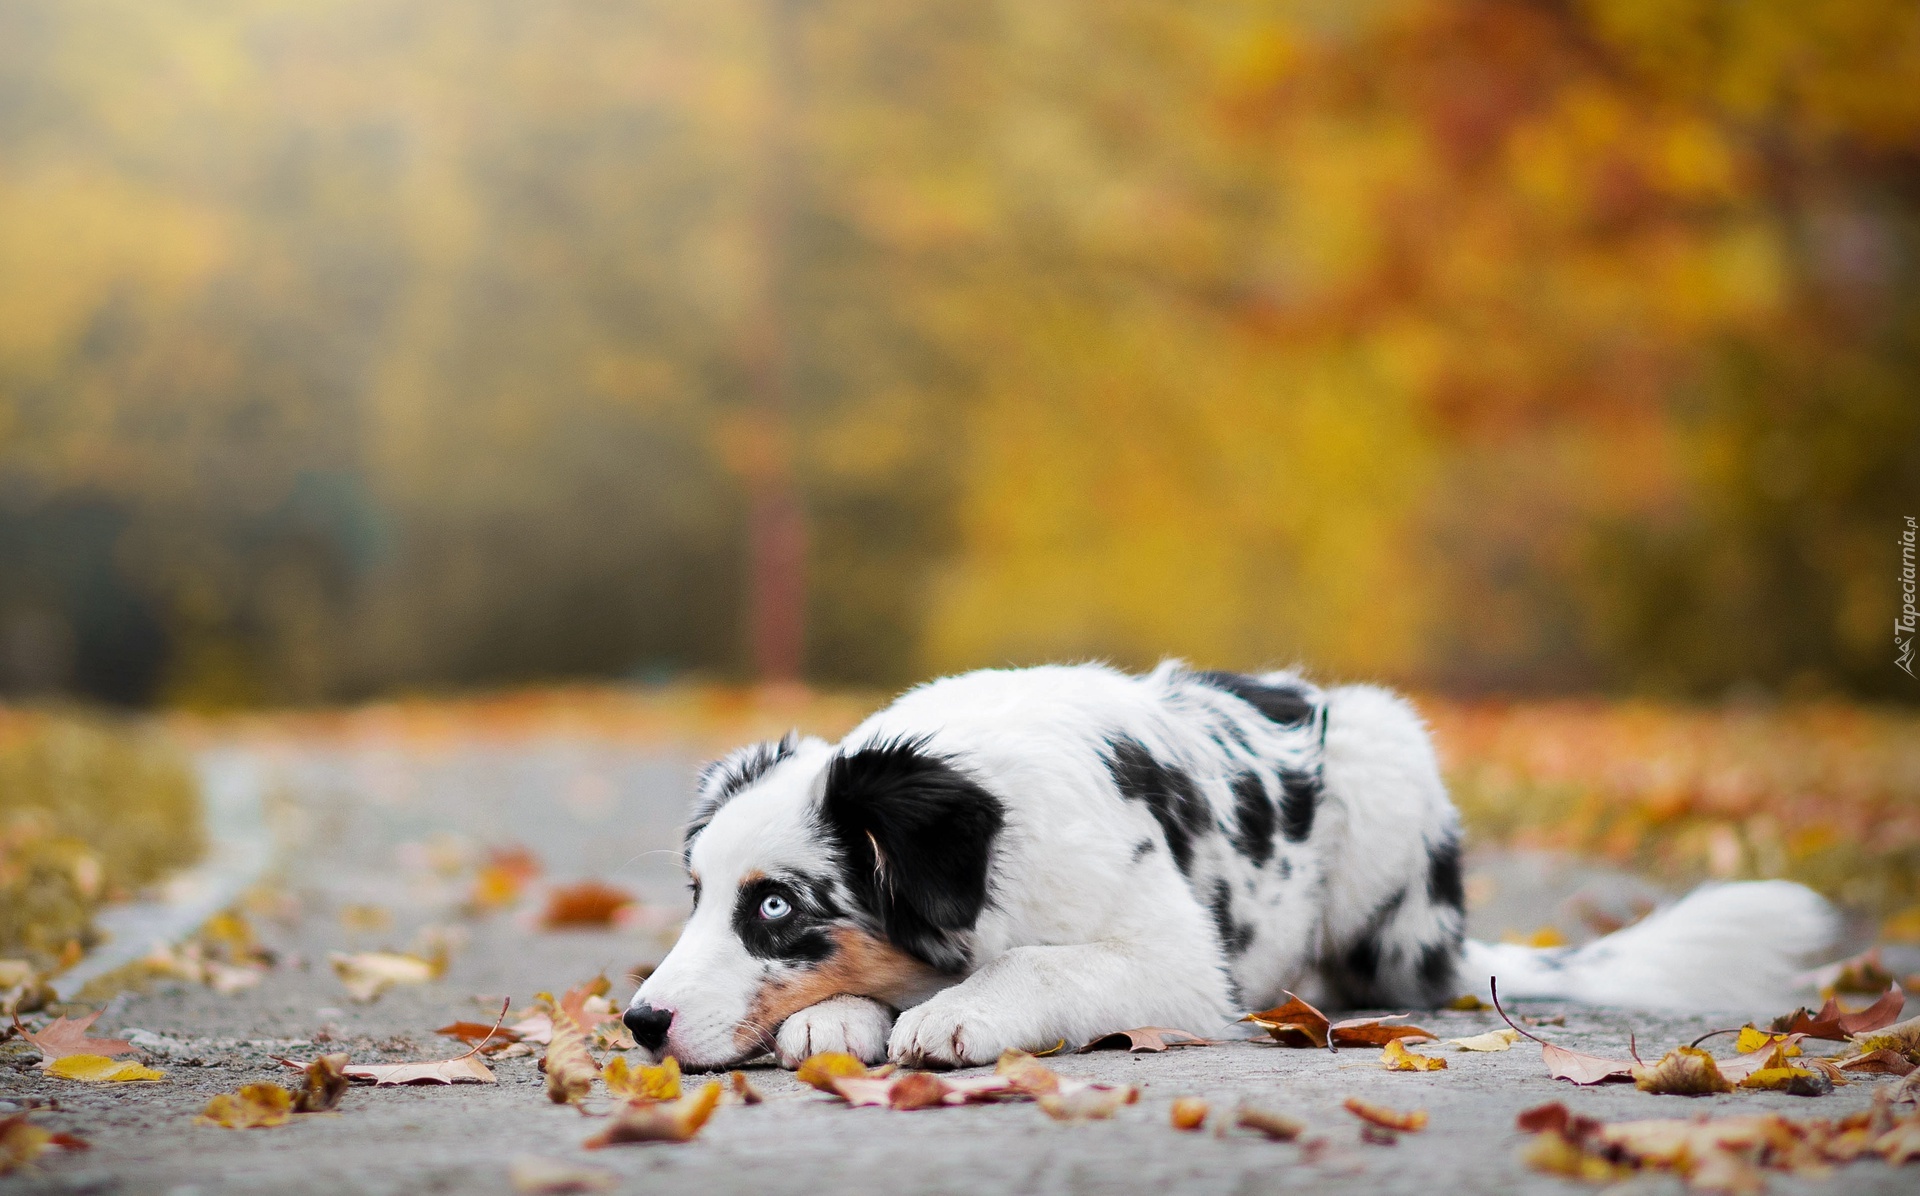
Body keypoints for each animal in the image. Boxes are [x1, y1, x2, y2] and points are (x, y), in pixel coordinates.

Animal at [622, 660, 1835, 1075]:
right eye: (699, 898)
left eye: (776, 905)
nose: (637, 1021)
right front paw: (835, 1019)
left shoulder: (1176, 962)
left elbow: (1048, 963)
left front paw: (958, 1012)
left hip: (1389, 782)